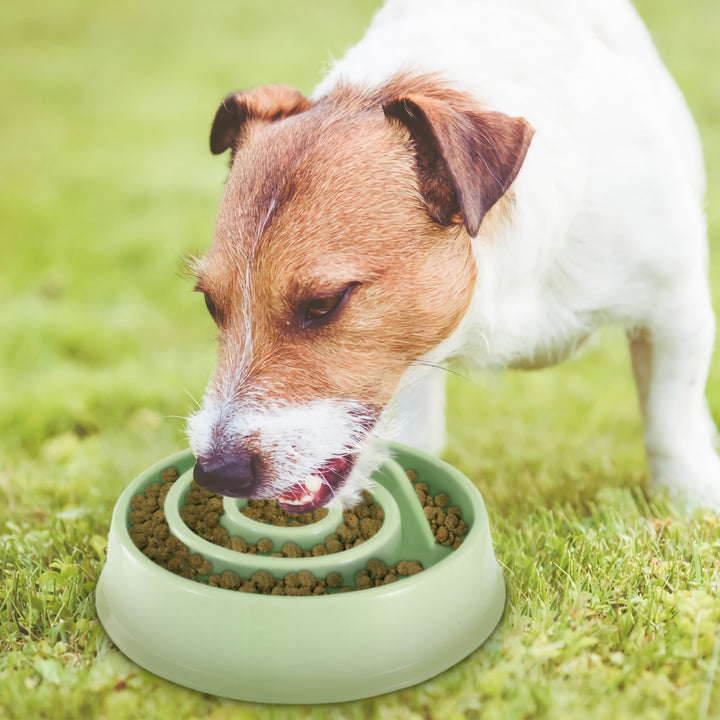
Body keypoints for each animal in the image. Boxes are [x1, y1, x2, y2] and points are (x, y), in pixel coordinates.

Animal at [187, 0, 720, 512]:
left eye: (324, 303)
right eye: (210, 304)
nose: (217, 473)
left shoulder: (675, 308)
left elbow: (671, 417)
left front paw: (692, 504)